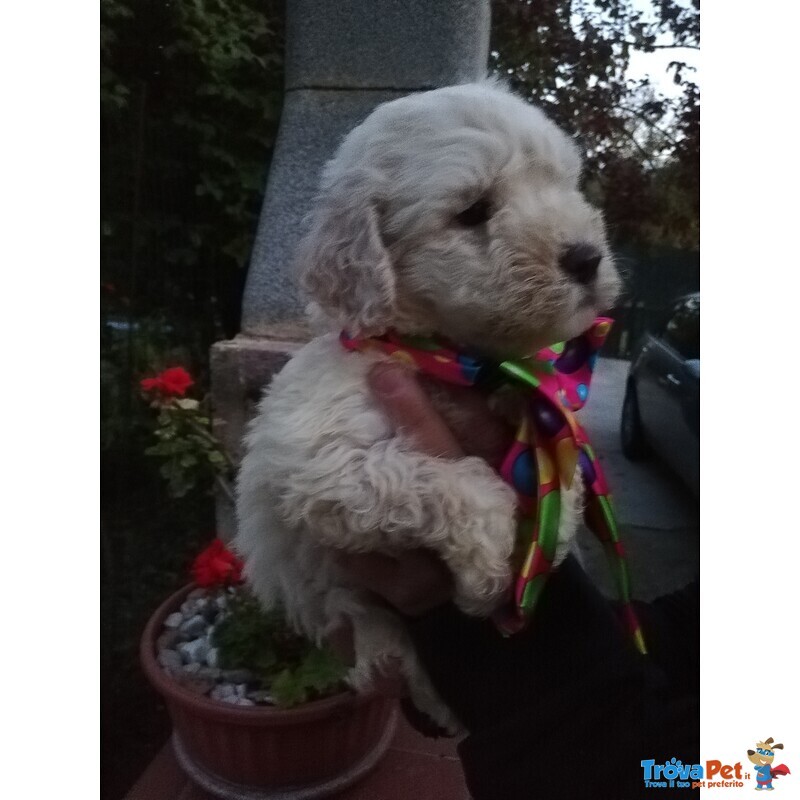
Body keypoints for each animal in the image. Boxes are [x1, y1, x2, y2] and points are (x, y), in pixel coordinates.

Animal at [234, 81, 620, 732]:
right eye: (473, 212)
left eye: (564, 184)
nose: (586, 257)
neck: (450, 357)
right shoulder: (316, 464)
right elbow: (435, 479)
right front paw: (490, 566)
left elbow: (563, 466)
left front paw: (555, 530)